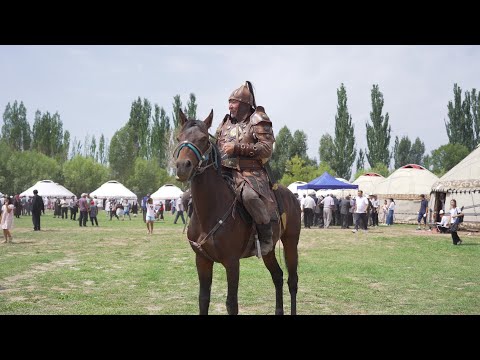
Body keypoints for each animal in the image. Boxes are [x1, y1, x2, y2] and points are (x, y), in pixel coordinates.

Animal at [172, 109, 300, 316]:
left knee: (292, 281)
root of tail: (292, 196)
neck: (209, 212)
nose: (183, 166)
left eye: (203, 139)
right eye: (179, 137)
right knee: (278, 276)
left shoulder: (232, 263)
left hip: (291, 242)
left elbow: (231, 303)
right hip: (269, 250)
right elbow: (203, 299)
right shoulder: (202, 260)